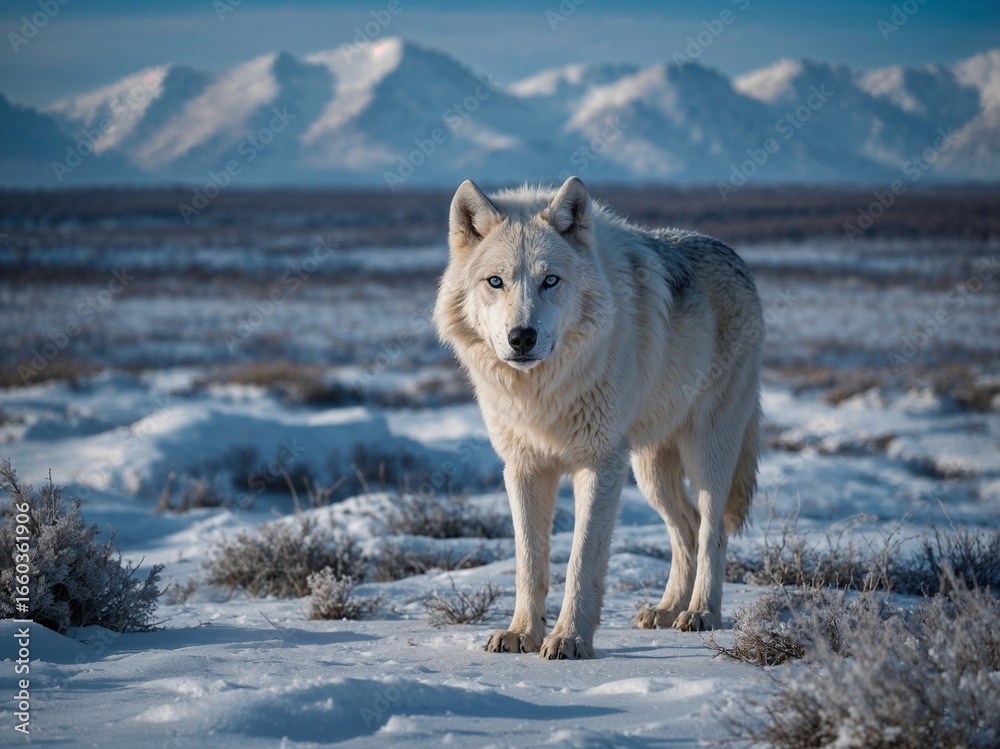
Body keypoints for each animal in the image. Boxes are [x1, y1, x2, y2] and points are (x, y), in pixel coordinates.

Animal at [434, 176, 763, 659]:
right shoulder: (524, 467)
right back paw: (666, 609)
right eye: (495, 281)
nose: (521, 337)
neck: (543, 392)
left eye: (550, 280)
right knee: (686, 527)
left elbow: (581, 560)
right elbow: (529, 562)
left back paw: (700, 612)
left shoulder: (601, 465)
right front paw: (520, 633)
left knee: (711, 530)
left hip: (706, 451)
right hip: (649, 470)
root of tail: (734, 255)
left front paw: (569, 639)